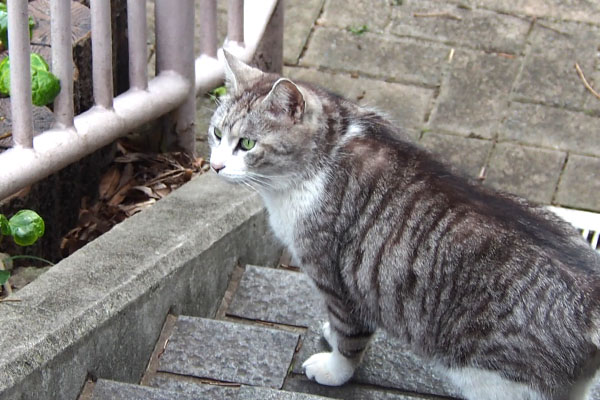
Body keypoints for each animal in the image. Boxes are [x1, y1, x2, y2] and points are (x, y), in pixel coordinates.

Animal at [209, 50, 600, 400]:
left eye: (247, 144)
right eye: (215, 133)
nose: (214, 167)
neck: (328, 150)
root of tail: (589, 298)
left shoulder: (338, 283)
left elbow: (350, 340)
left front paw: (333, 370)